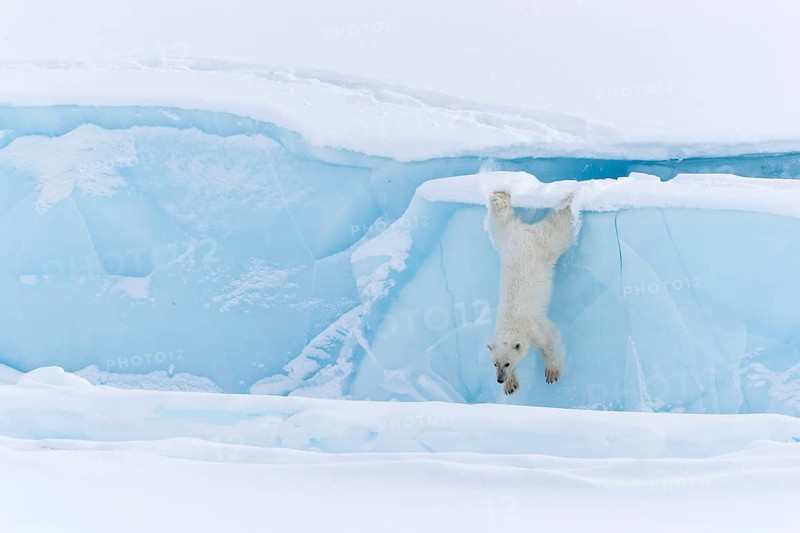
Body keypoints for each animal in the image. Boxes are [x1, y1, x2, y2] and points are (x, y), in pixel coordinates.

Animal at [486, 189, 576, 395]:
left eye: (507, 363)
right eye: (494, 363)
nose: (499, 380)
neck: (512, 324)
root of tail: (524, 233)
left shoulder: (534, 329)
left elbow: (549, 340)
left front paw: (552, 373)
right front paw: (511, 385)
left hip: (543, 246)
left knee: (560, 229)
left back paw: (570, 201)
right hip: (506, 238)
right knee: (502, 219)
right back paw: (499, 195)